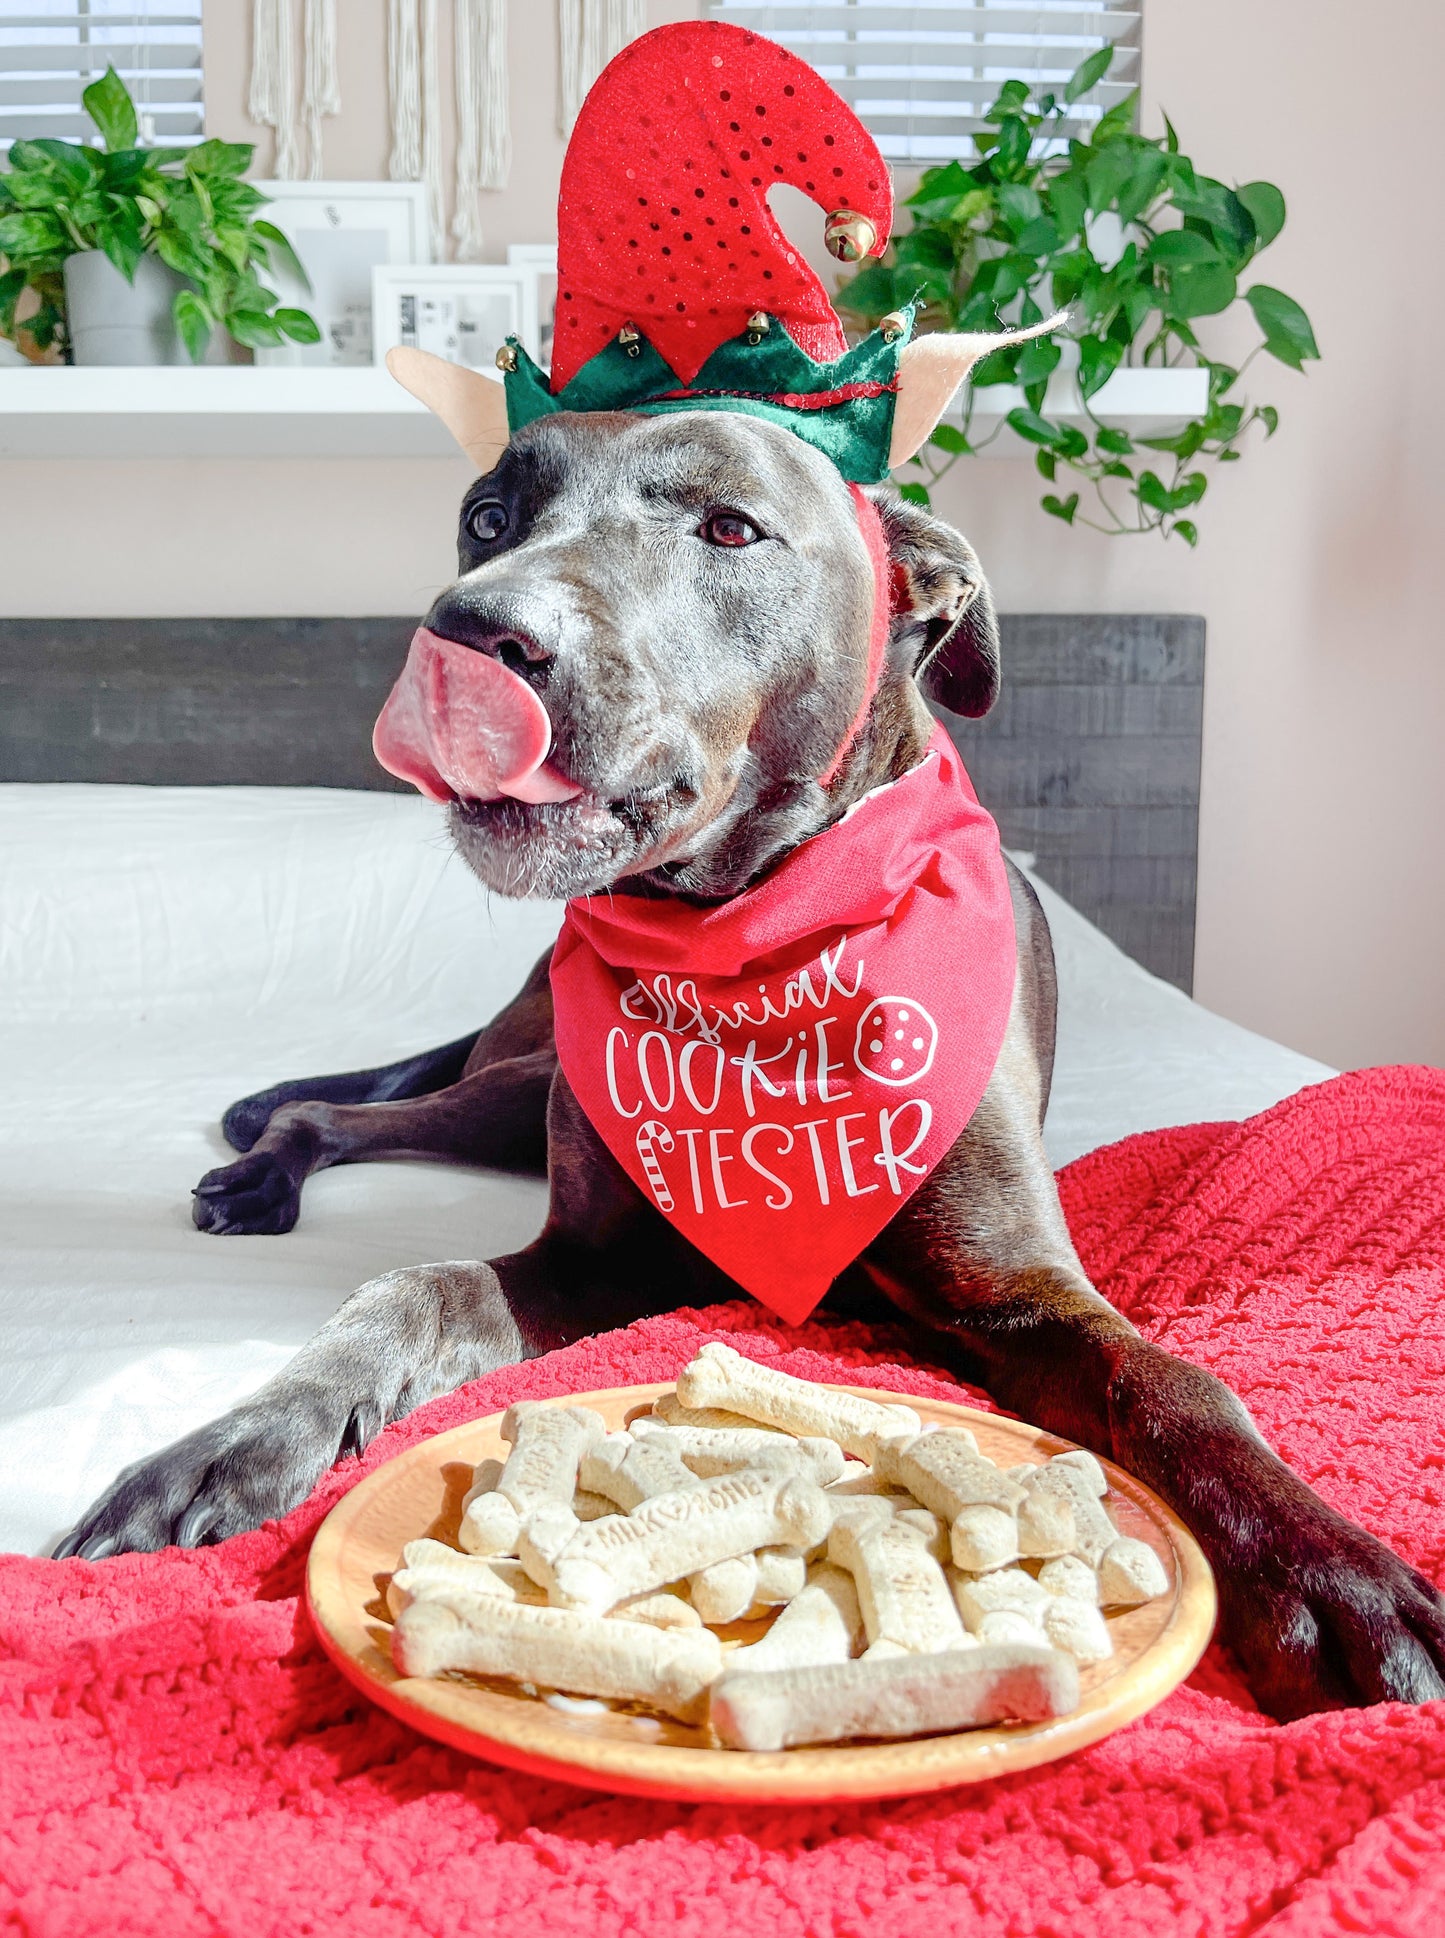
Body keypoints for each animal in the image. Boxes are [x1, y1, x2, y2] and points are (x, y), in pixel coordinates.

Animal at [61, 405, 1441, 1713]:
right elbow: (411, 1289)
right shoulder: (595, 1261)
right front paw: (238, 1438)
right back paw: (260, 1167)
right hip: (524, 1088)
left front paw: (1339, 1576)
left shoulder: (1018, 1291)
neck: (749, 939)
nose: (467, 635)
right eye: (487, 517)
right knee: (345, 1116)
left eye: (729, 528)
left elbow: (1175, 1386)